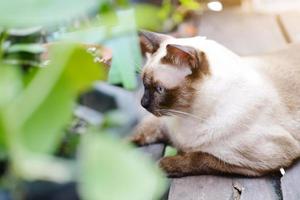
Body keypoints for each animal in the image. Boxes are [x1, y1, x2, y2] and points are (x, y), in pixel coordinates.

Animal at [131, 30, 300, 177]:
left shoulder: (267, 157)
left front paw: (162, 165)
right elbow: (139, 133)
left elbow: (198, 157)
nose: (143, 103)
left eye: (159, 89)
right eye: (144, 85)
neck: (186, 115)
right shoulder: (164, 123)